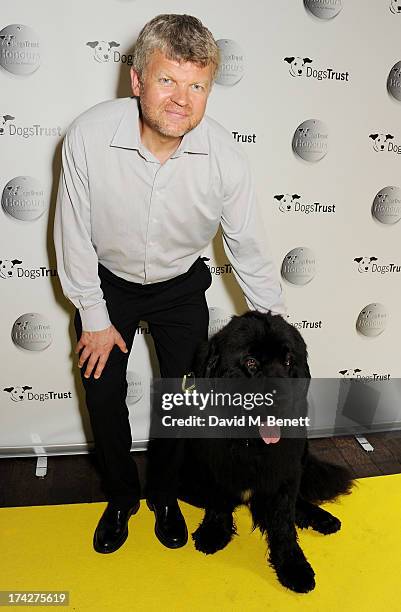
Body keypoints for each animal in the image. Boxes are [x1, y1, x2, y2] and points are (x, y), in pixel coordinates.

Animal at [179, 310, 354, 592]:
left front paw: (293, 566)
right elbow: (218, 499)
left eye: (288, 361)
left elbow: (283, 522)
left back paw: (321, 518)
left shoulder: (284, 472)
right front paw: (214, 532)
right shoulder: (216, 465)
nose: (281, 399)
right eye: (251, 362)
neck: (251, 444)